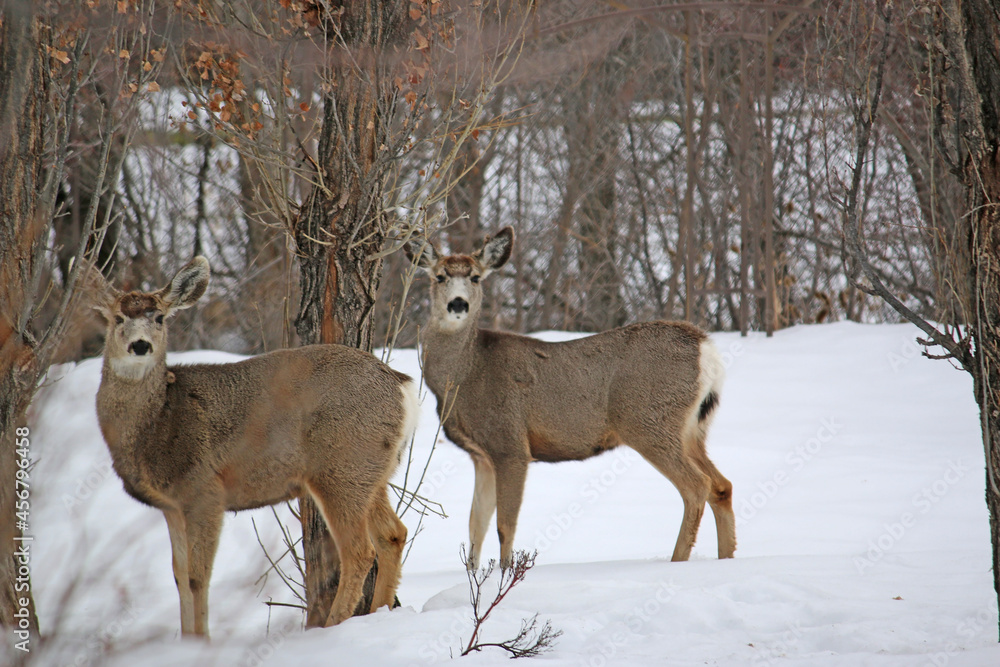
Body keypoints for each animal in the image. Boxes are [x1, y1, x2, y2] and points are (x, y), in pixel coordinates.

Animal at [92, 257, 419, 637]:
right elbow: (178, 576)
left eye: (159, 317)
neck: (159, 420)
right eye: (117, 318)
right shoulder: (171, 505)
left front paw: (201, 640)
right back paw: (380, 612)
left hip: (342, 467)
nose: (141, 345)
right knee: (393, 534)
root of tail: (401, 384)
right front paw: (186, 639)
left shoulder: (205, 490)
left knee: (359, 550)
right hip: (370, 471)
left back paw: (332, 626)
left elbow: (197, 577)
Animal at [404, 227, 735, 571]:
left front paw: (505, 575)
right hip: (692, 428)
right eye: (440, 276)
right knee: (722, 486)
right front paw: (471, 576)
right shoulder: (480, 455)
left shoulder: (511, 445)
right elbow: (475, 527)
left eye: (476, 277)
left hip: (649, 421)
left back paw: (677, 562)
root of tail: (706, 349)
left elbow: (504, 525)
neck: (465, 376)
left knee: (697, 486)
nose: (458, 304)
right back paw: (727, 559)